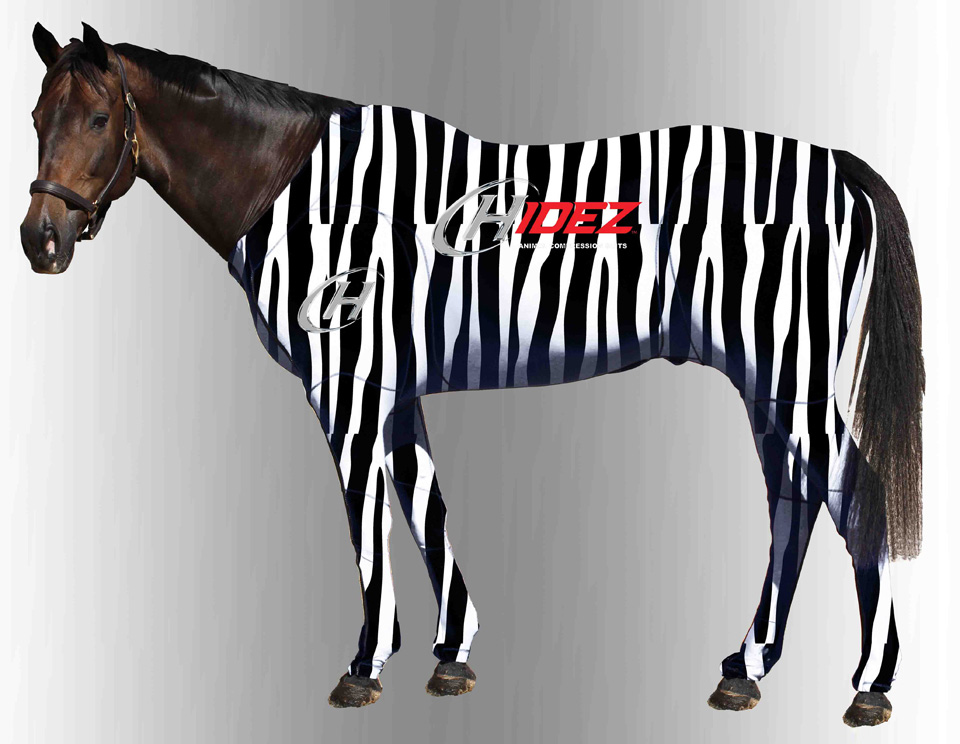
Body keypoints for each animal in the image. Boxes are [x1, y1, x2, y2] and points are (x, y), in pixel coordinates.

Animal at [22, 26, 924, 727]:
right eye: (34, 118)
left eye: (99, 118)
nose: (40, 242)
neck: (304, 199)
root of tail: (837, 164)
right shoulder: (394, 387)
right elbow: (426, 506)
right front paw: (451, 654)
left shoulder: (347, 381)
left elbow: (370, 521)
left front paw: (364, 666)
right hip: (768, 373)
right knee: (793, 503)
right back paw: (747, 668)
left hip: (788, 366)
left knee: (850, 492)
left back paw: (870, 688)